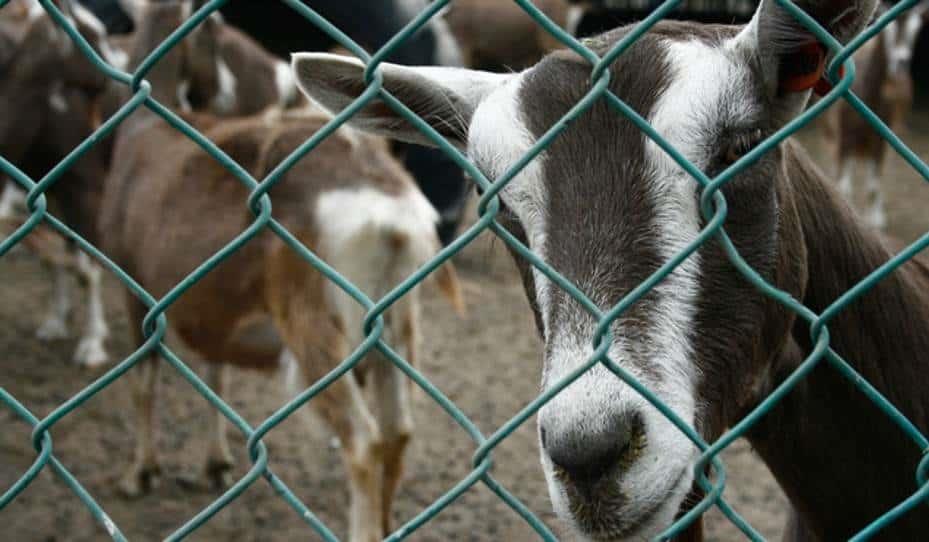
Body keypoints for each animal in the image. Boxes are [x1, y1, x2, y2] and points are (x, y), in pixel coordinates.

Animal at [832, 0, 924, 230]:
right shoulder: (845, 137)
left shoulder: (881, 138)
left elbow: (874, 186)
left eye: (916, 30)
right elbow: (844, 184)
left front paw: (875, 220)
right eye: (885, 28)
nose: (901, 63)